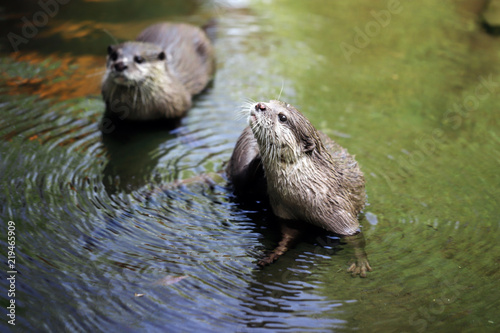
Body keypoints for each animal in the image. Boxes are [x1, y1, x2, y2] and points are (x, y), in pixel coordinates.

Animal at [227, 100, 372, 276]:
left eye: (283, 117)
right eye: (271, 101)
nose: (261, 105)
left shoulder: (341, 214)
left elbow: (356, 237)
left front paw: (360, 262)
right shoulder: (285, 212)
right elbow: (289, 235)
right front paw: (272, 255)